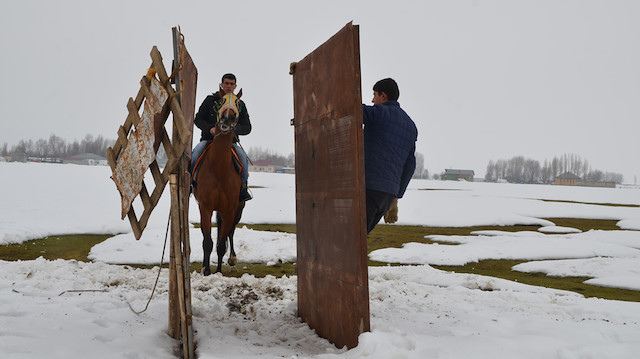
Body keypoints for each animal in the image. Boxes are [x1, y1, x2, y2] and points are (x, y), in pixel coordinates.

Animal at [192, 90, 245, 276]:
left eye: (238, 103)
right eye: (220, 101)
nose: (228, 117)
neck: (219, 169)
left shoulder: (229, 209)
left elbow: (222, 243)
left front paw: (219, 271)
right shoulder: (205, 207)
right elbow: (207, 241)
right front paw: (206, 270)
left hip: (238, 209)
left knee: (231, 231)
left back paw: (232, 258)